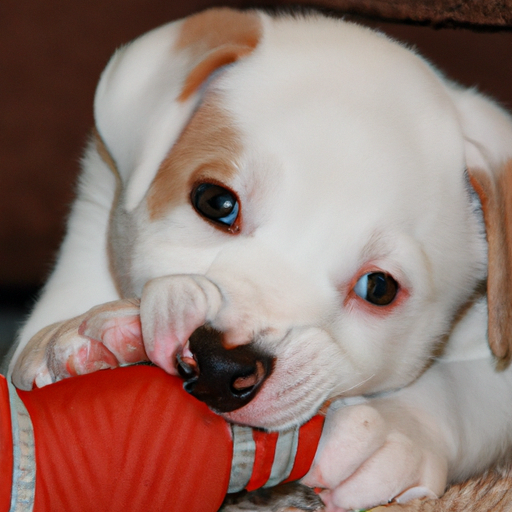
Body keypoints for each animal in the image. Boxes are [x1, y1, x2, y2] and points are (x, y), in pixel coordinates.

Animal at [9, 8, 512, 512]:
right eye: (216, 202)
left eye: (379, 288)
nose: (220, 366)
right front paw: (79, 340)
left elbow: (469, 390)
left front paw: (391, 430)